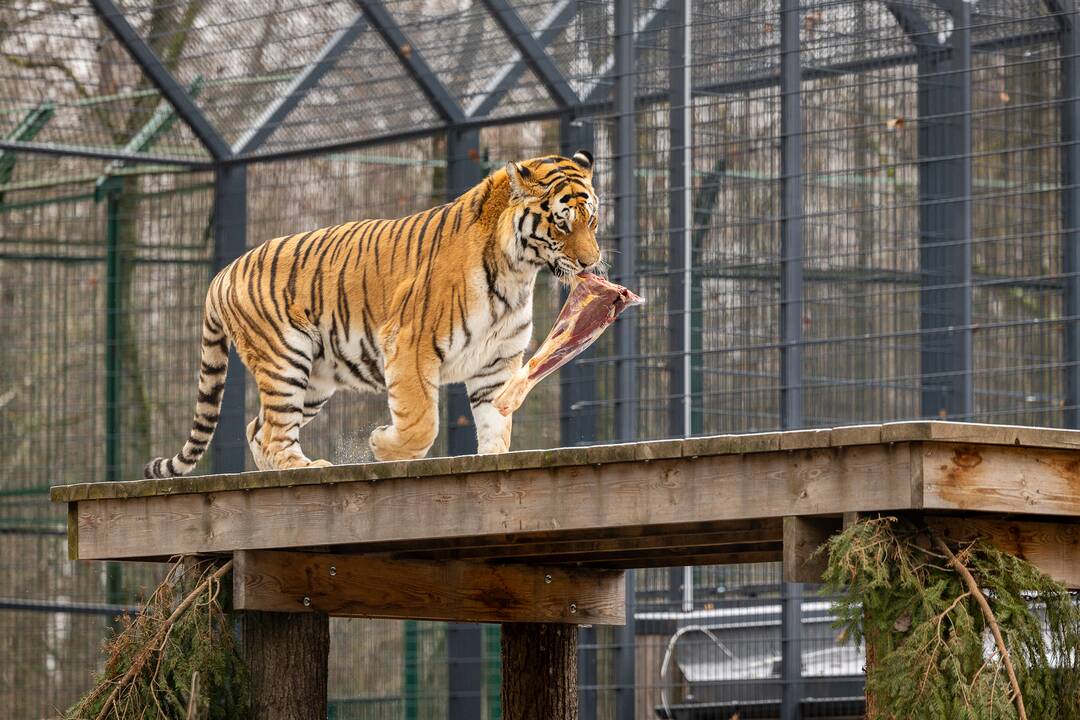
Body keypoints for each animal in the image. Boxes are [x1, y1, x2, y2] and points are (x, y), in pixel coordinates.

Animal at [142, 151, 600, 479]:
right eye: (562, 224)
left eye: (592, 221)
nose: (591, 264)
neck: (517, 272)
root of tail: (222, 273)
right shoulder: (411, 344)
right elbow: (422, 421)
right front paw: (383, 445)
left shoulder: (497, 361)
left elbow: (496, 421)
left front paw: (490, 460)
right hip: (285, 358)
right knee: (273, 431)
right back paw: (305, 467)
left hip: (315, 378)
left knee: (258, 428)